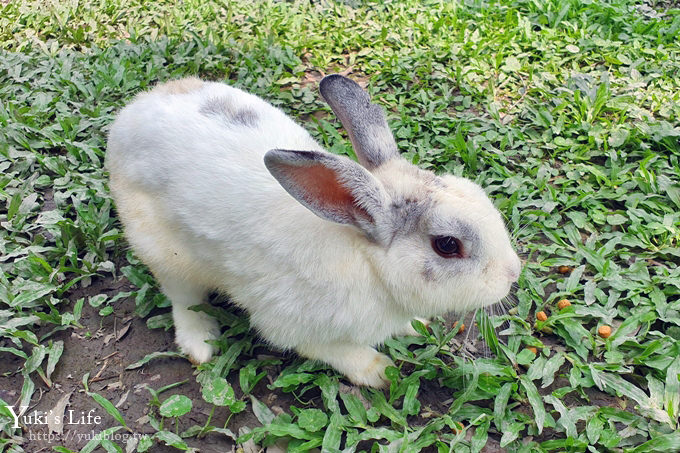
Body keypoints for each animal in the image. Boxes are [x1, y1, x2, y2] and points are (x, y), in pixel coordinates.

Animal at [105, 73, 520, 384]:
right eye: (447, 245)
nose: (513, 274)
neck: (368, 262)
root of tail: (131, 114)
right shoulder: (289, 324)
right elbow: (332, 350)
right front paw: (380, 371)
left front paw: (415, 327)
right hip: (166, 253)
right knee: (182, 300)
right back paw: (201, 344)